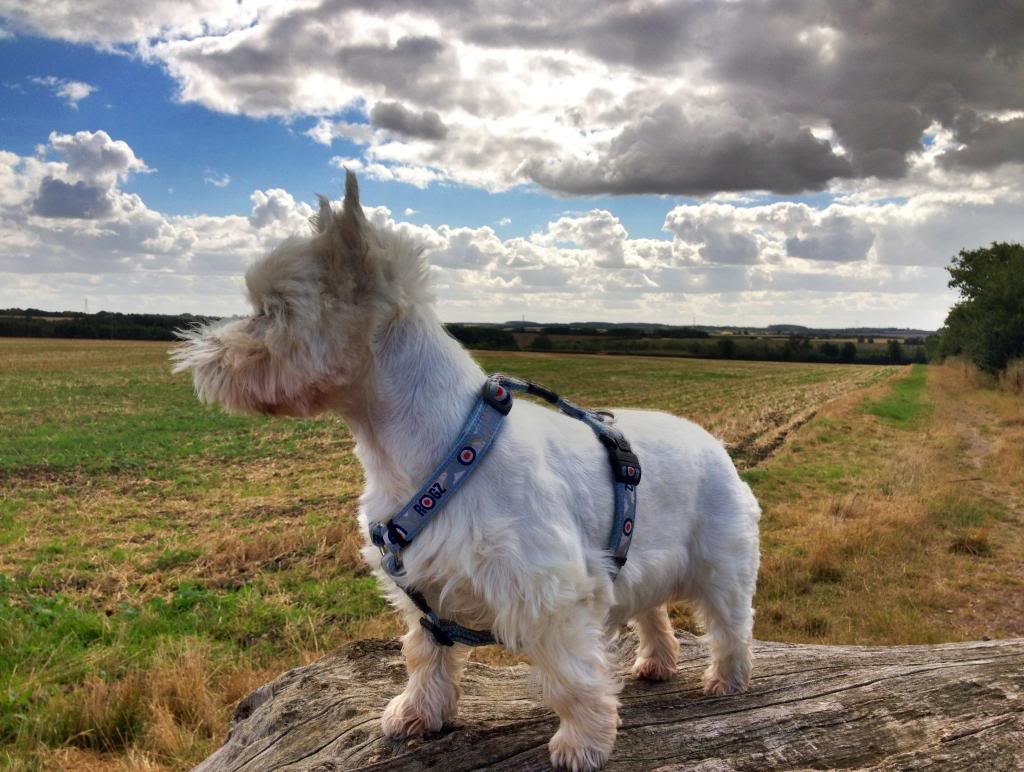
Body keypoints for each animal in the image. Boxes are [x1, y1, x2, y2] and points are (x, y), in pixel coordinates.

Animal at [172, 174, 761, 769]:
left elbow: (571, 677)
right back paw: (658, 663)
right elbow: (425, 658)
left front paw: (583, 743)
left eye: (272, 310)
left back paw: (726, 680)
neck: (445, 450)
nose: (196, 356)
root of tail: (711, 441)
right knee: (654, 614)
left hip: (722, 566)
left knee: (731, 625)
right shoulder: (424, 594)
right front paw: (417, 714)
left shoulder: (548, 592)